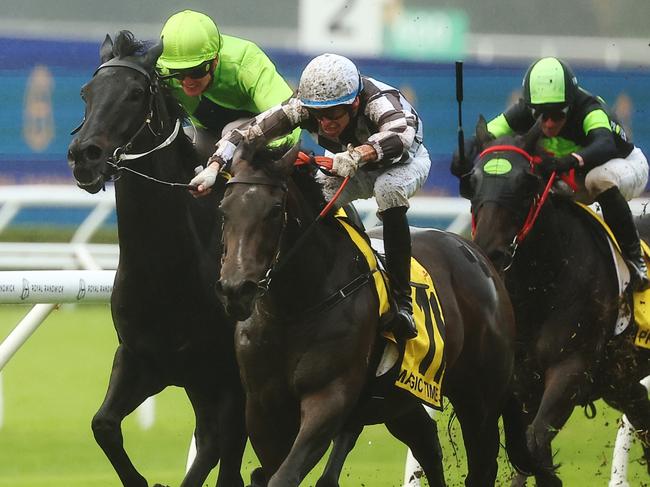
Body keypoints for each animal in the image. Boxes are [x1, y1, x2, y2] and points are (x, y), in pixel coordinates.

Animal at [67, 31, 246, 487]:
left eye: (134, 94)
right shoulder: (140, 359)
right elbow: (103, 425)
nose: (84, 155)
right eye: (86, 92)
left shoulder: (229, 376)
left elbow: (219, 451)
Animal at [215, 139, 536, 486]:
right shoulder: (262, 408)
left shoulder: (330, 396)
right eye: (223, 209)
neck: (293, 310)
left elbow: (284, 475)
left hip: (480, 397)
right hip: (400, 396)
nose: (236, 288)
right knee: (427, 441)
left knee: (481, 464)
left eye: (275, 210)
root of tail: (477, 254)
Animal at [458, 116, 648, 486]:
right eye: (471, 182)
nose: (490, 251)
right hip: (620, 380)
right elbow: (527, 450)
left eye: (526, 182)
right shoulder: (523, 383)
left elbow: (535, 441)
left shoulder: (571, 368)